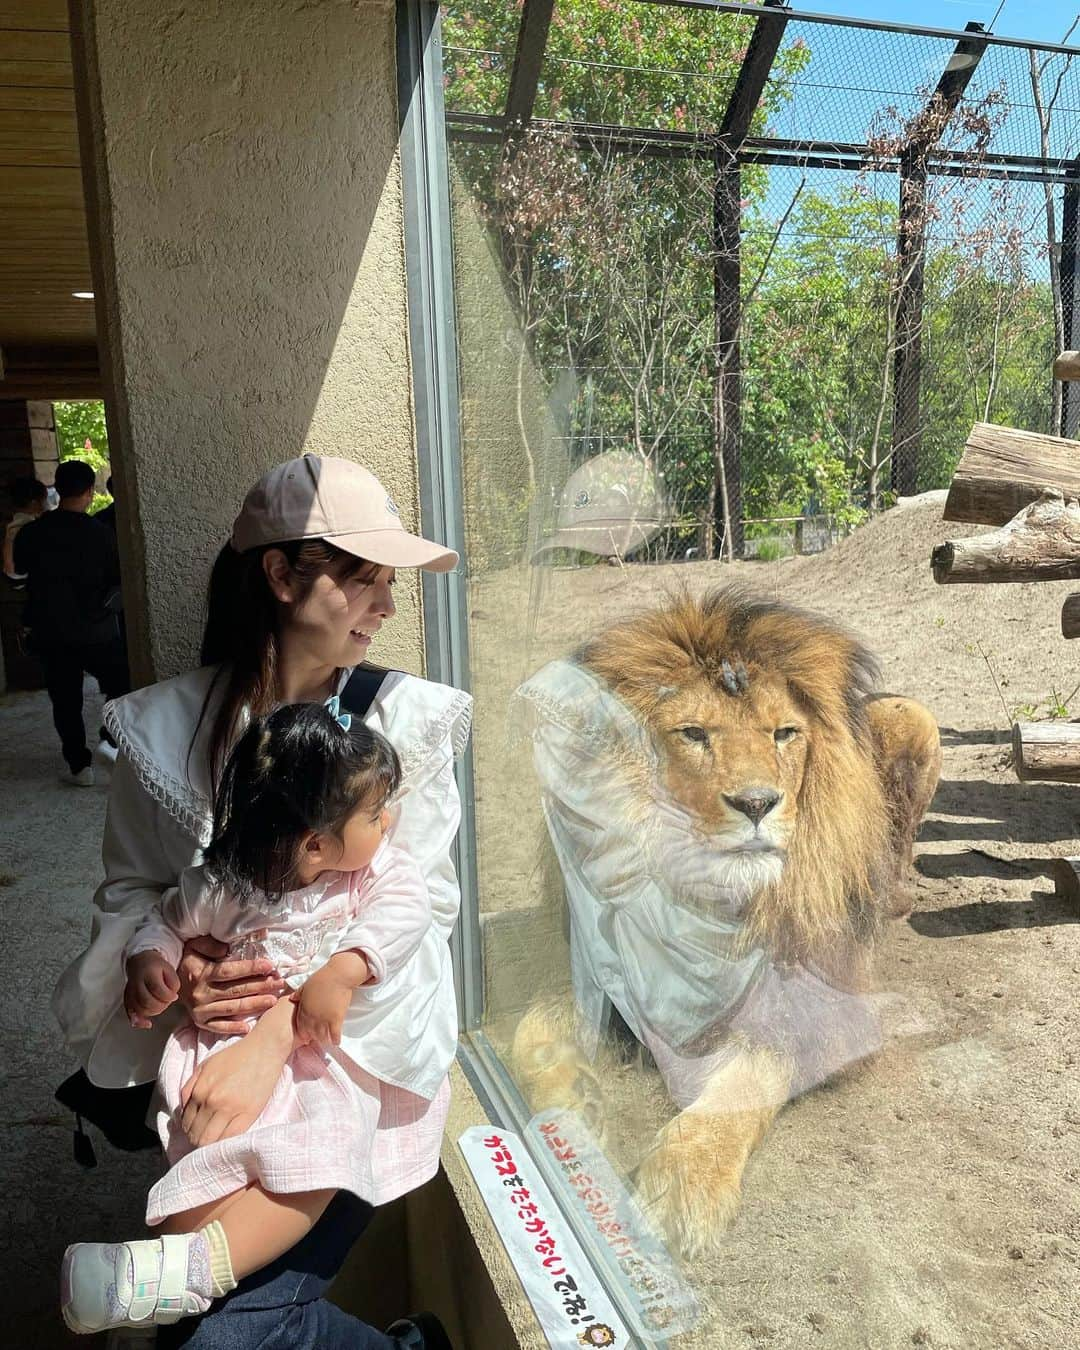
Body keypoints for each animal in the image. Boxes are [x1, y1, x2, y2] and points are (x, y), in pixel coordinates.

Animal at [510, 585, 939, 1258]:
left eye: (785, 734)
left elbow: (754, 1072)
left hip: (909, 714)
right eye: (693, 734)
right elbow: (530, 1028)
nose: (757, 803)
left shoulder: (827, 1004)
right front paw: (571, 1106)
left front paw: (685, 1178)